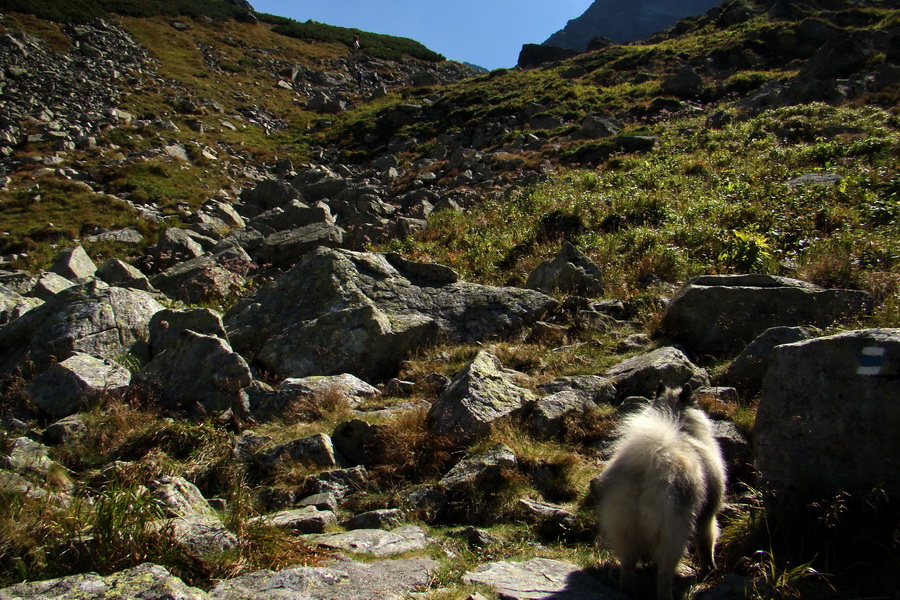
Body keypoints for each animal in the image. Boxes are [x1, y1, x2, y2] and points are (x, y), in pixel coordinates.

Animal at [596, 384, 728, 600]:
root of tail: (645, 471)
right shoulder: (707, 516)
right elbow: (706, 544)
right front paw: (709, 570)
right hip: (673, 534)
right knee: (665, 573)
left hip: (624, 530)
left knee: (628, 566)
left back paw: (627, 590)